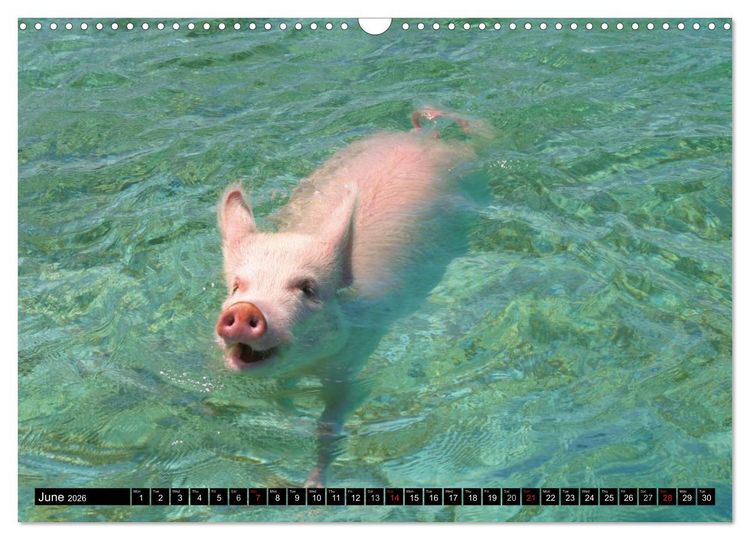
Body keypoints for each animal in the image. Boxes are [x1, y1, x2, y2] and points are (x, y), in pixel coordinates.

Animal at [215, 108, 480, 487]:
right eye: (237, 286)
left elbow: (331, 422)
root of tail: (424, 136)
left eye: (308, 288)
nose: (243, 310)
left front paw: (313, 484)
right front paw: (290, 416)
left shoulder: (352, 362)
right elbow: (282, 395)